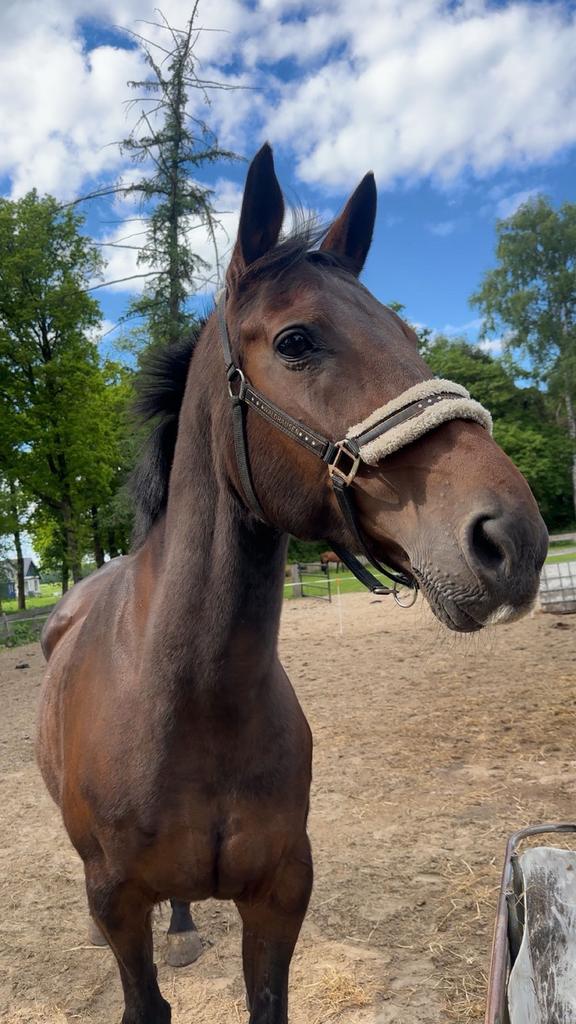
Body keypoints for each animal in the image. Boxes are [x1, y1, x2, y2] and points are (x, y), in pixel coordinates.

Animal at [37, 143, 547, 1024]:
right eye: (298, 340)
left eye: (408, 335)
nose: (512, 539)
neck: (191, 702)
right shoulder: (116, 904)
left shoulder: (280, 897)